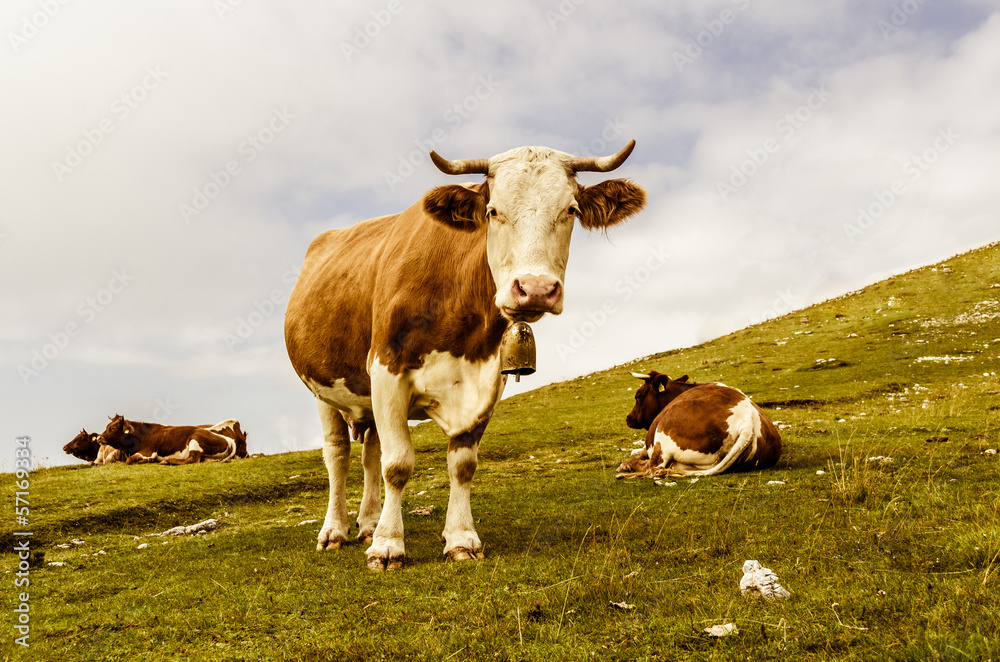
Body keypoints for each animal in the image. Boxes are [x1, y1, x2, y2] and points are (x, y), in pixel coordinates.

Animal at [96, 416, 249, 466]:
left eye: (113, 428)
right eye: (107, 426)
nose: (99, 437)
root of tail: (229, 439)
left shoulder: (147, 452)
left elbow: (130, 460)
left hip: (195, 439)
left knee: (192, 459)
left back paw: (167, 461)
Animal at [286, 140, 644, 572]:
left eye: (571, 210)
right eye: (493, 211)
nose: (536, 289)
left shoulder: (487, 381)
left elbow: (462, 464)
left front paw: (460, 539)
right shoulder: (386, 372)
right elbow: (397, 463)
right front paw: (388, 546)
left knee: (370, 450)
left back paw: (369, 523)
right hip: (322, 389)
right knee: (338, 454)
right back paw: (335, 530)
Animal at [616, 374, 780, 478]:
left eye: (638, 396)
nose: (628, 418)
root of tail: (747, 422)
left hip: (663, 437)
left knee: (653, 466)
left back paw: (625, 467)